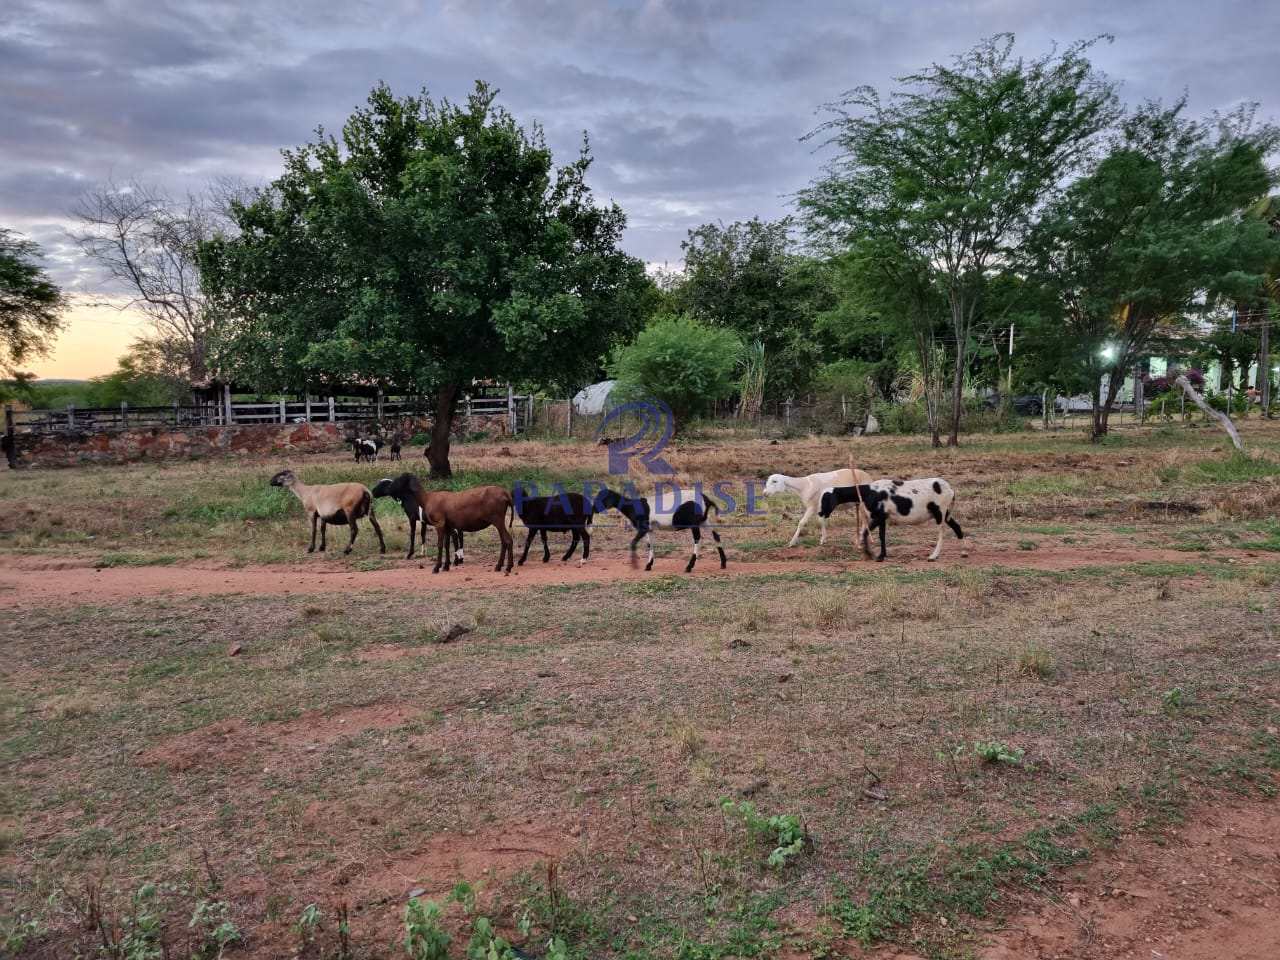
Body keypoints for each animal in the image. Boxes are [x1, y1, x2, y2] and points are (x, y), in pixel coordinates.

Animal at [371, 476, 514, 576]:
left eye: (400, 480)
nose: (373, 492)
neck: (426, 498)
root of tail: (506, 494)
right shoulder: (447, 526)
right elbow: (446, 545)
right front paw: (446, 566)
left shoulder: (438, 524)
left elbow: (439, 544)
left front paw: (436, 567)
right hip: (498, 520)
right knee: (506, 541)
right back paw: (503, 566)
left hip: (497, 519)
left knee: (507, 540)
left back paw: (506, 567)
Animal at [596, 483, 727, 576]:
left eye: (604, 498)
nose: (595, 509)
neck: (634, 507)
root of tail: (706, 500)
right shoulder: (650, 529)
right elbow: (650, 544)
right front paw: (648, 565)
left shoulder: (643, 528)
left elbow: (633, 543)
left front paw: (634, 565)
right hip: (703, 521)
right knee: (715, 535)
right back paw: (723, 563)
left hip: (694, 522)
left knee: (697, 540)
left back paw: (689, 567)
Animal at [819, 478, 962, 563]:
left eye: (826, 498)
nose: (820, 513)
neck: (868, 492)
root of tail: (951, 490)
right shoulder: (883, 517)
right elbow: (881, 536)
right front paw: (881, 555)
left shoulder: (878, 516)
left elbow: (865, 533)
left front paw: (870, 554)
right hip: (946, 512)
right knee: (957, 528)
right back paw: (963, 550)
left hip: (940, 511)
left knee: (942, 533)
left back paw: (933, 556)